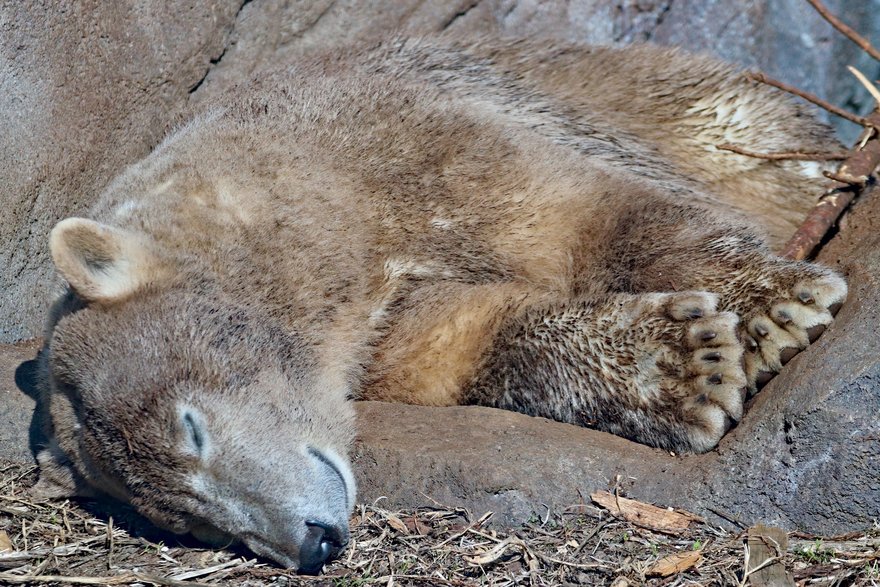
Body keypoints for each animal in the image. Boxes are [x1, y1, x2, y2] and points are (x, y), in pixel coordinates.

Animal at [32, 39, 844, 576]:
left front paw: (770, 310)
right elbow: (461, 340)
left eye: (191, 428)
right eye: (186, 521)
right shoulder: (380, 328)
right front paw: (680, 368)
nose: (308, 542)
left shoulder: (398, 141)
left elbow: (586, 215)